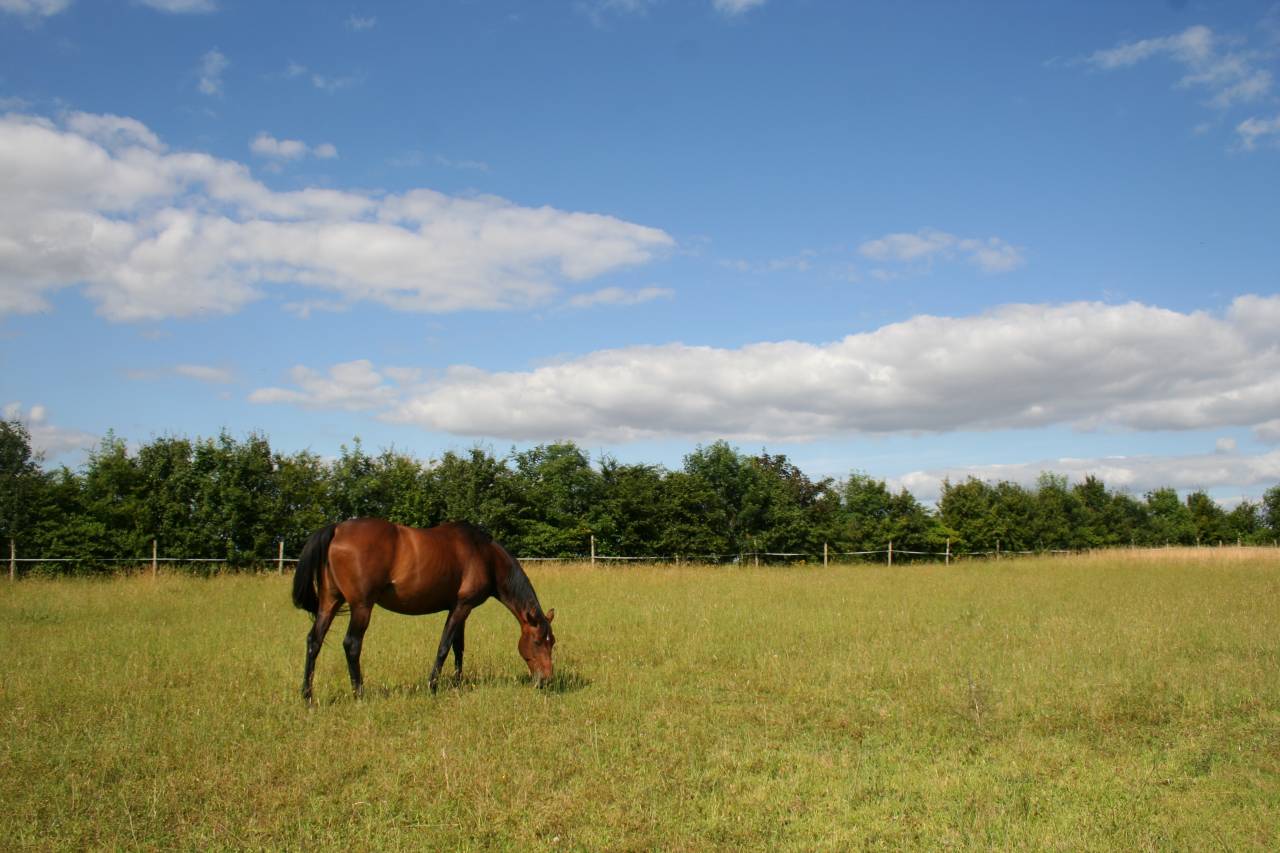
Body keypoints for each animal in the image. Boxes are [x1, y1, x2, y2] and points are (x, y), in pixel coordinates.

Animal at [290, 518, 555, 702]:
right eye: (538, 642)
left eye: (552, 642)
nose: (547, 680)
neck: (484, 555)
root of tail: (337, 529)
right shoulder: (461, 607)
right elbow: (444, 647)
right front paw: (432, 686)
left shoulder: (461, 608)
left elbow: (458, 648)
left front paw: (458, 683)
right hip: (361, 607)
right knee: (352, 644)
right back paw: (359, 694)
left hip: (329, 602)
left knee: (314, 641)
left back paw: (307, 696)